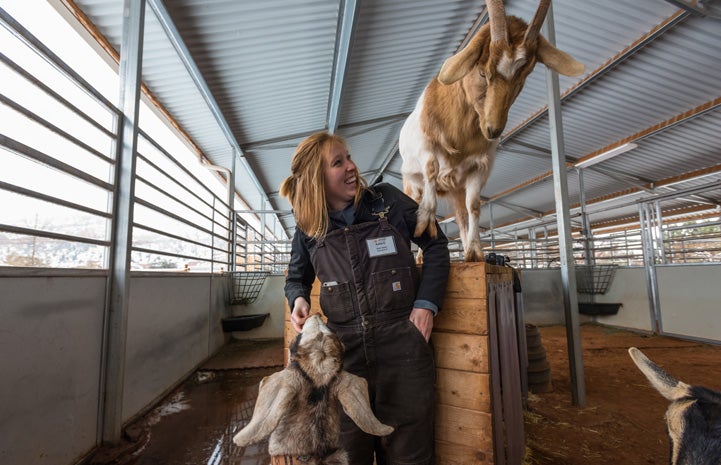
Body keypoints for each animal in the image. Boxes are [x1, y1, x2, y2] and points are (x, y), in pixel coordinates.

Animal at [400, 0, 584, 260]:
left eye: (524, 76)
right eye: (482, 71)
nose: (493, 129)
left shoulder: (480, 166)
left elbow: (474, 206)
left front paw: (475, 252)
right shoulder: (424, 147)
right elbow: (431, 169)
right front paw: (425, 224)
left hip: (456, 188)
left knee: (462, 214)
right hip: (410, 183)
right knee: (419, 197)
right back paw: (419, 256)